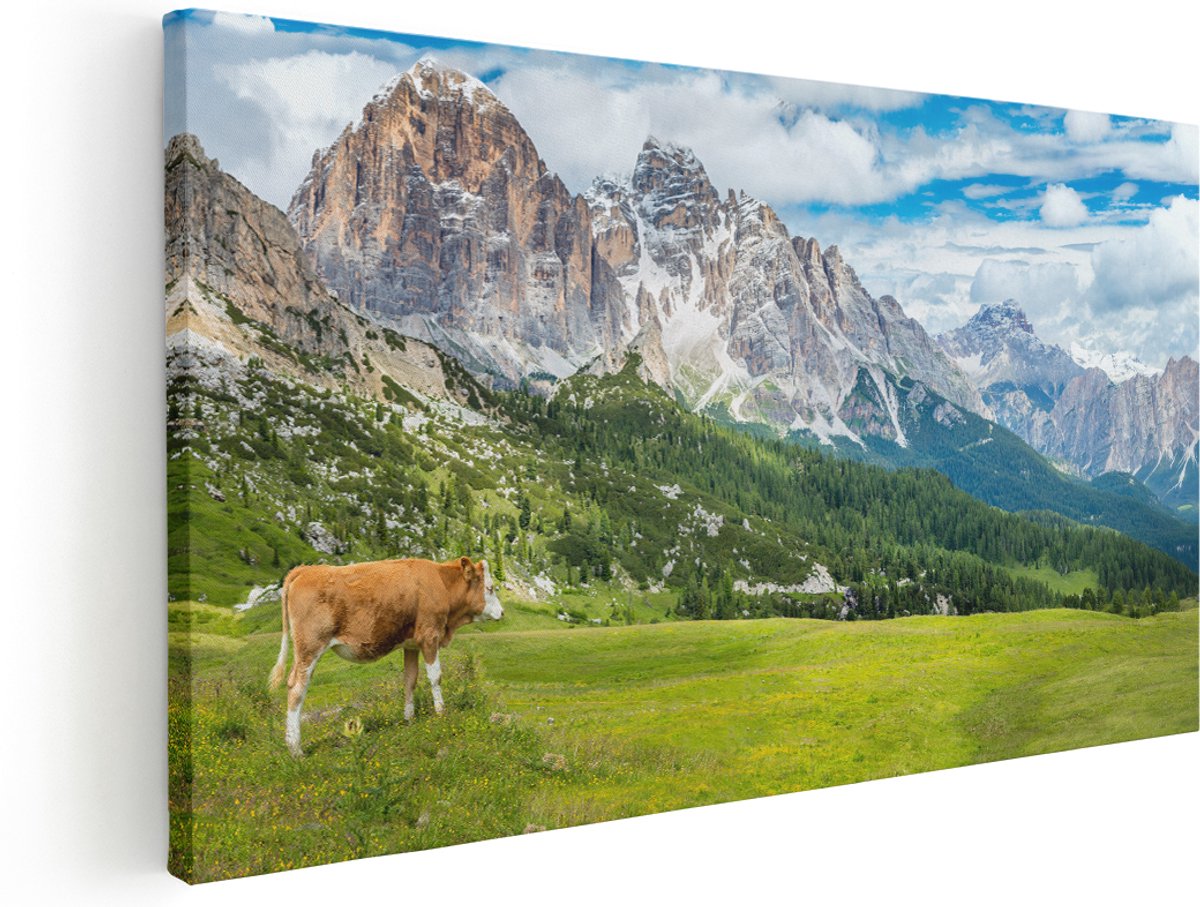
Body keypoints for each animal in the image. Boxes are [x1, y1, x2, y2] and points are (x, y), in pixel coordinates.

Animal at [268, 556, 503, 757]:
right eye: (490, 588)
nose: (502, 612)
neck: (441, 583)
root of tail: (305, 570)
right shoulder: (429, 636)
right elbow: (435, 677)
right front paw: (441, 713)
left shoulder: (412, 644)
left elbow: (410, 679)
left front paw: (409, 718)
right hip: (309, 647)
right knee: (297, 688)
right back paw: (295, 748)